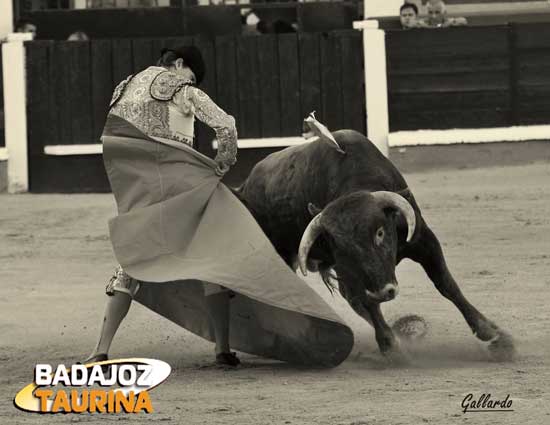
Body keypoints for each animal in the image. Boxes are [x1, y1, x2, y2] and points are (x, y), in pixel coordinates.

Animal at [236, 123, 516, 362]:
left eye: (380, 233)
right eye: (341, 247)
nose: (384, 292)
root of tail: (244, 187)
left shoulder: (424, 240)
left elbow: (446, 284)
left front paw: (496, 337)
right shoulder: (348, 269)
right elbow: (366, 301)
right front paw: (390, 347)